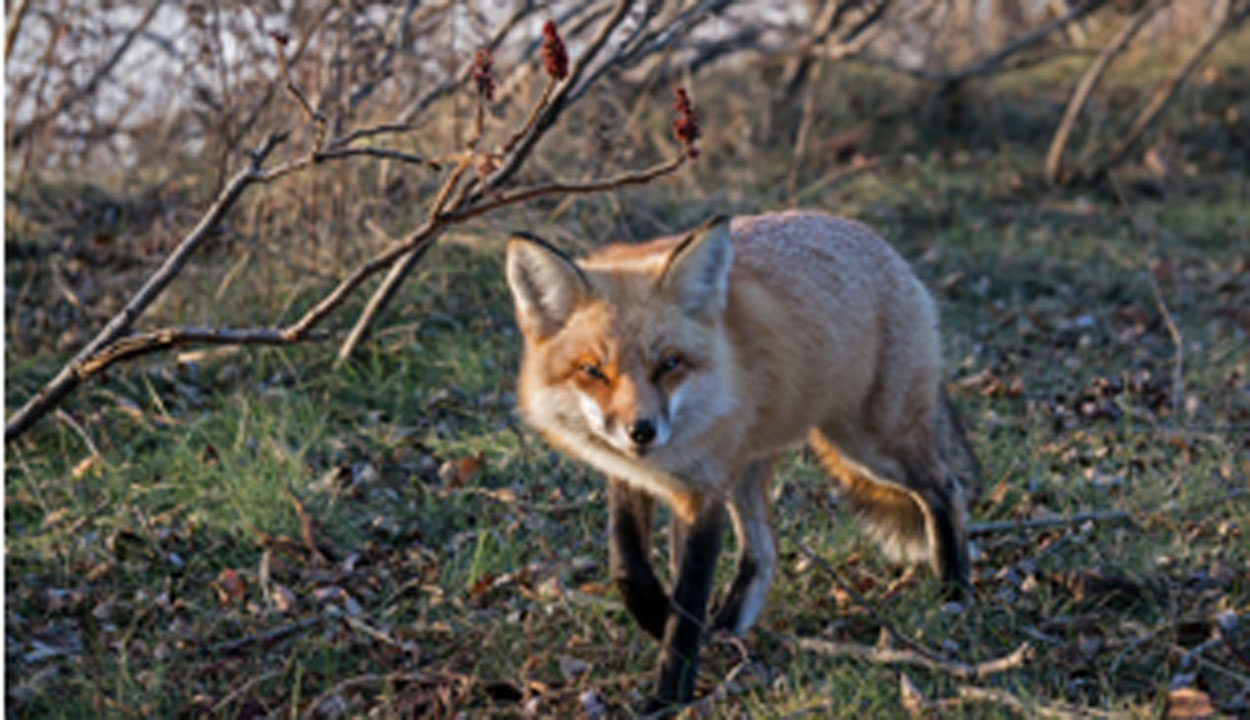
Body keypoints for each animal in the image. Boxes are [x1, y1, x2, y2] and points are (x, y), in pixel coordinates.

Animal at [505, 210, 975, 705]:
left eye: (669, 364)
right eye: (593, 371)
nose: (642, 430)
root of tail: (875, 241)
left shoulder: (703, 491)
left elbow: (688, 600)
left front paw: (669, 696)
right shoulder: (634, 477)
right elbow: (627, 566)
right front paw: (655, 617)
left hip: (870, 444)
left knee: (945, 489)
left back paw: (955, 594)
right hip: (753, 469)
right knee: (763, 551)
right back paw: (729, 628)